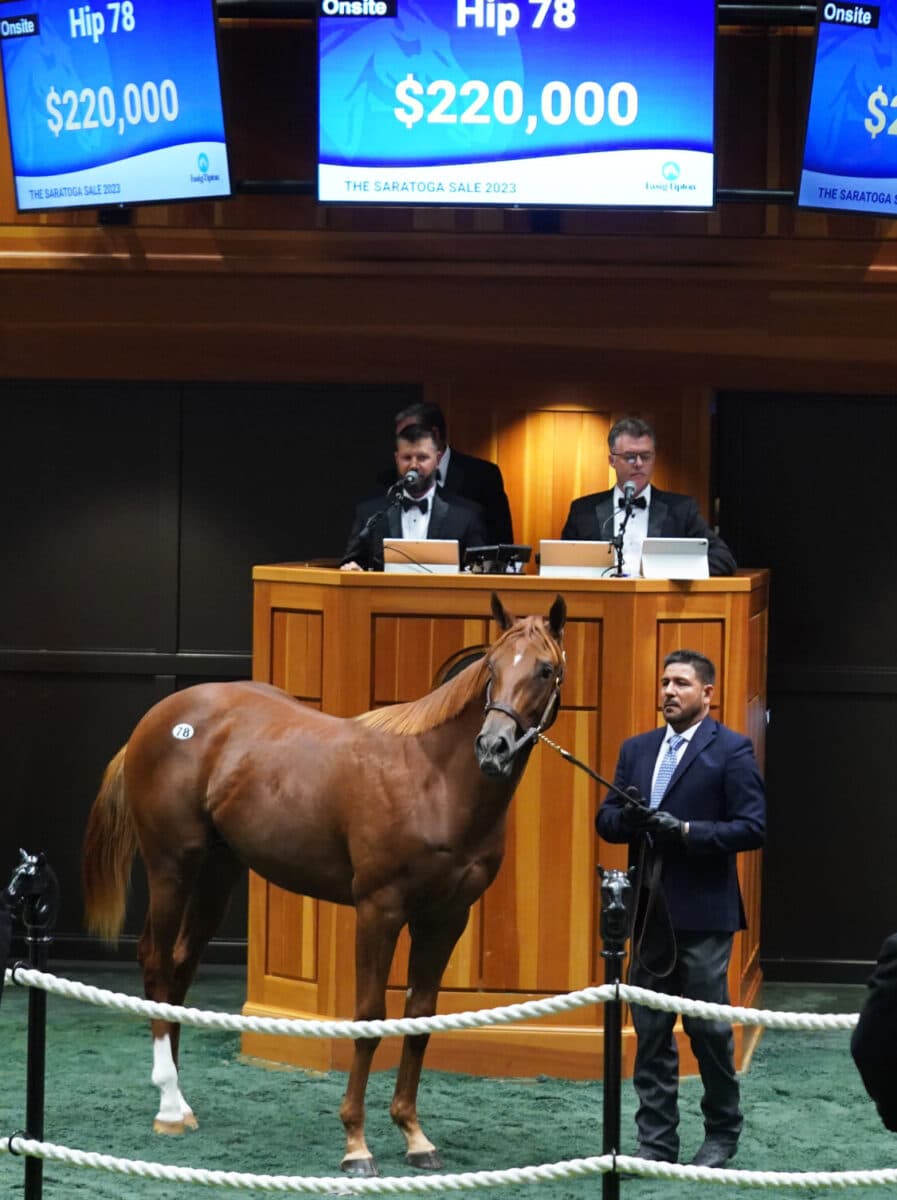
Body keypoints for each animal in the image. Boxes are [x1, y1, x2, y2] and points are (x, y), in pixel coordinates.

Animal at [80, 590, 563, 1171]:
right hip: (172, 864)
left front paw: (414, 1135)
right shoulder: (379, 909)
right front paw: (356, 1142)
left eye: (545, 669)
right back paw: (170, 1103)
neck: (433, 782)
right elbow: (370, 1017)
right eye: (491, 667)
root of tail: (160, 718)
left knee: (178, 968)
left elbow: (420, 1016)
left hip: (217, 871)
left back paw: (179, 1101)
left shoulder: (446, 917)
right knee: (154, 962)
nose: (493, 747)